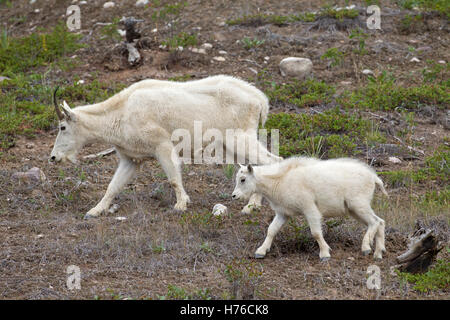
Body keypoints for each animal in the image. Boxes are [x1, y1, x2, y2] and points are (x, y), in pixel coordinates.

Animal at [50, 76, 282, 219]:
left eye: (62, 127)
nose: (53, 158)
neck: (121, 112)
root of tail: (260, 100)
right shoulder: (130, 159)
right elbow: (113, 186)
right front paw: (94, 211)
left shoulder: (162, 145)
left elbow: (172, 177)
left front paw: (181, 204)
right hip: (231, 145)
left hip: (240, 138)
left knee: (273, 161)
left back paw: (251, 206)